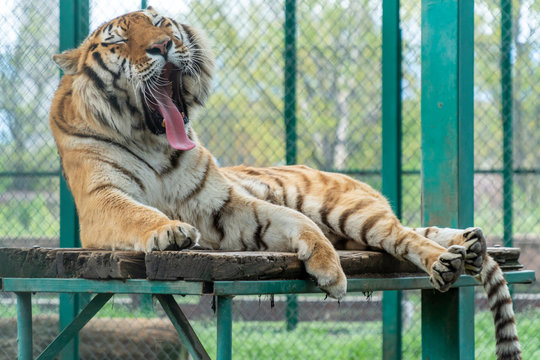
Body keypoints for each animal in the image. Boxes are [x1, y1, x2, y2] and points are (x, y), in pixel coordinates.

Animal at [49, 7, 520, 358]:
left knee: (402, 233)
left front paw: (329, 271)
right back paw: (467, 246)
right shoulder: (103, 200)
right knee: (407, 230)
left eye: (161, 23)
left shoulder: (223, 202)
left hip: (349, 211)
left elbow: (292, 219)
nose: (162, 47)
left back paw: (453, 256)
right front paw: (170, 230)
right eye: (117, 42)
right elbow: (138, 212)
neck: (155, 140)